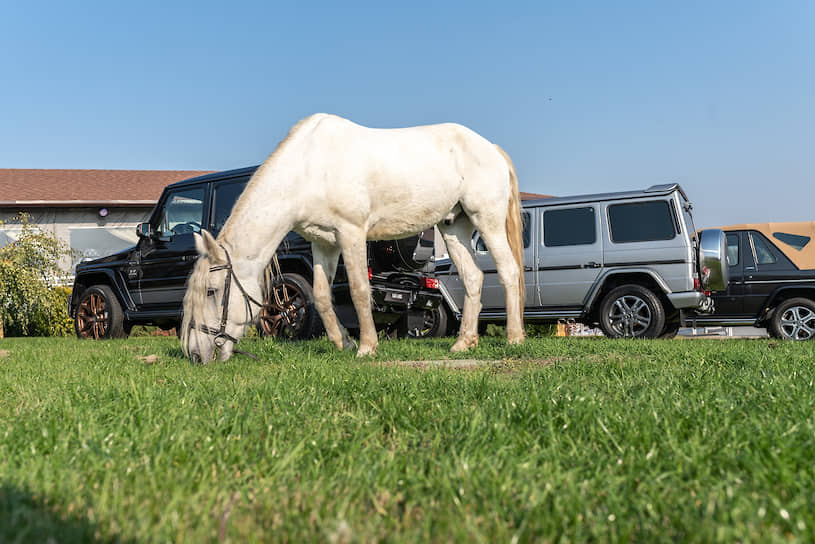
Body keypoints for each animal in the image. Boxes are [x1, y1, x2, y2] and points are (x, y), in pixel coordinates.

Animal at [182, 113, 524, 364]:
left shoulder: (351, 233)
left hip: (487, 219)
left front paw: (367, 347)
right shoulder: (323, 242)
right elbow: (321, 296)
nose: (197, 354)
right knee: (473, 278)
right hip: (454, 227)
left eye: (211, 291)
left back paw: (515, 337)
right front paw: (343, 343)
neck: (308, 168)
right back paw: (464, 343)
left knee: (508, 271)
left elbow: (360, 291)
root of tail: (492, 148)